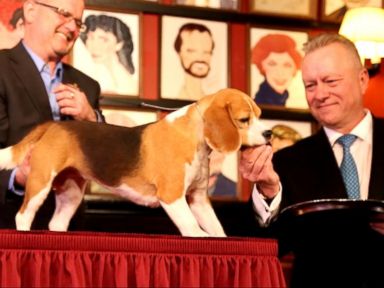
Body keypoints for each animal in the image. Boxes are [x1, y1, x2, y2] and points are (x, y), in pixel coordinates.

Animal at [0, 88, 272, 236]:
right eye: (244, 119)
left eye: (260, 115)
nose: (269, 133)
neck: (195, 134)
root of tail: (53, 125)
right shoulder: (172, 197)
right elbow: (192, 227)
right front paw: (199, 235)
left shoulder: (198, 198)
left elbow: (216, 229)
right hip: (40, 181)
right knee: (23, 216)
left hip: (71, 191)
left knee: (56, 221)